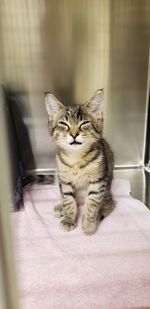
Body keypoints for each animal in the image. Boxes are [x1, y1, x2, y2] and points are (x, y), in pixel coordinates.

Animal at [45, 90, 114, 235]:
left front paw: (89, 223)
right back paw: (61, 207)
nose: (74, 134)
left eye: (84, 123)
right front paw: (69, 219)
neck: (76, 158)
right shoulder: (64, 180)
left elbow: (92, 202)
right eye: (64, 124)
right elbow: (68, 200)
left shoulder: (99, 181)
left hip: (107, 191)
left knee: (108, 205)